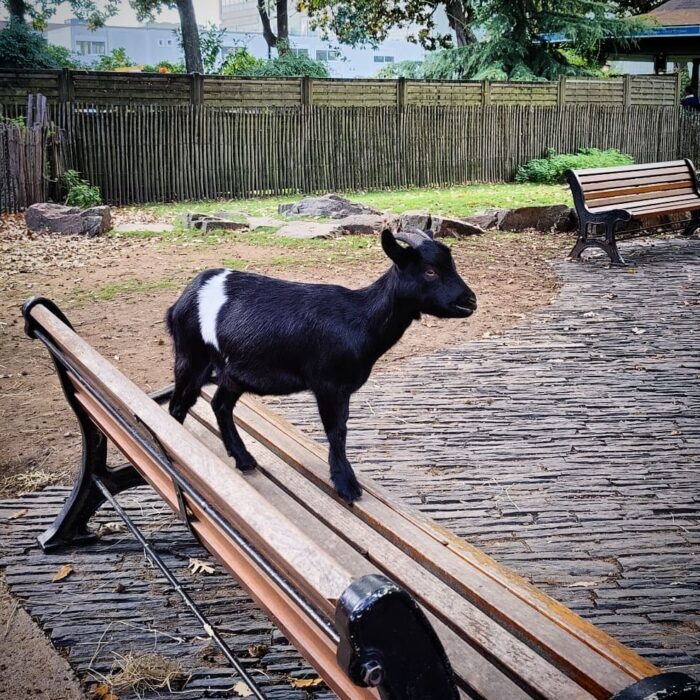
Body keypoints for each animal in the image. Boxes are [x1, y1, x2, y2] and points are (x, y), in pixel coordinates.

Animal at [166, 228, 477, 503]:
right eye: (430, 271)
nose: (470, 301)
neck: (360, 318)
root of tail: (180, 301)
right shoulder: (329, 384)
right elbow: (336, 431)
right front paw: (347, 486)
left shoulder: (342, 387)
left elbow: (340, 428)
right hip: (192, 356)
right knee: (178, 405)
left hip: (234, 372)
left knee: (219, 404)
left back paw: (243, 459)